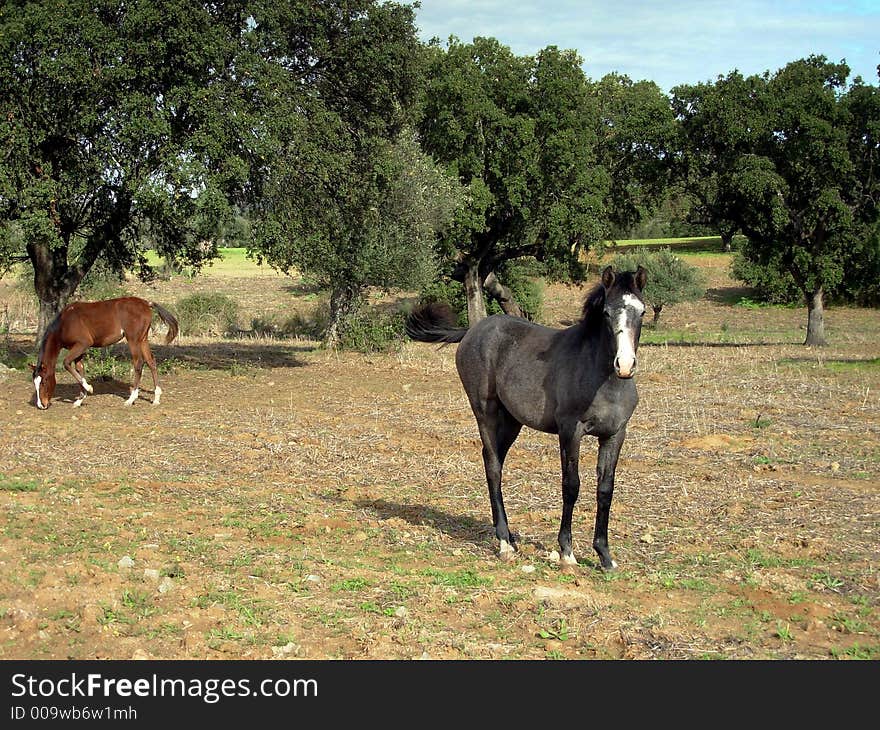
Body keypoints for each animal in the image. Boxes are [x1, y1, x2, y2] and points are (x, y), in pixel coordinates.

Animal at [31, 298, 179, 410]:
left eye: (44, 381)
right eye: (35, 383)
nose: (41, 405)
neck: (65, 323)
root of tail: (146, 303)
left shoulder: (82, 344)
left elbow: (66, 363)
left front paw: (89, 388)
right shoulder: (78, 350)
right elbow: (79, 369)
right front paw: (80, 399)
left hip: (133, 340)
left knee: (138, 363)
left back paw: (131, 399)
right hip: (143, 339)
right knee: (151, 361)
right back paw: (156, 398)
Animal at [406, 264, 648, 572]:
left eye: (642, 312)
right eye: (606, 312)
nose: (625, 365)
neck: (603, 380)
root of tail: (472, 330)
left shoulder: (615, 434)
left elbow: (605, 489)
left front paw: (605, 556)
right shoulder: (571, 431)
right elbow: (571, 486)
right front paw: (567, 552)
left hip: (513, 422)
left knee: (496, 460)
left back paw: (510, 537)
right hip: (485, 412)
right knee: (492, 466)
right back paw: (504, 543)